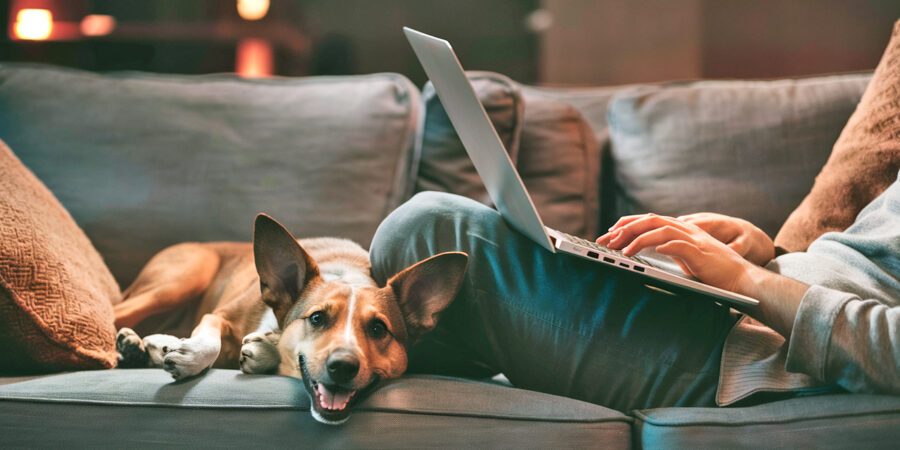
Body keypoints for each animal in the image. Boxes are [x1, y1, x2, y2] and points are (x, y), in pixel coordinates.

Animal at [115, 214, 468, 426]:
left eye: (378, 328)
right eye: (317, 318)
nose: (343, 366)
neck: (345, 270)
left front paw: (262, 350)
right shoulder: (220, 315)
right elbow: (210, 336)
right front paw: (191, 357)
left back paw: (143, 345)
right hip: (183, 277)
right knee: (117, 310)